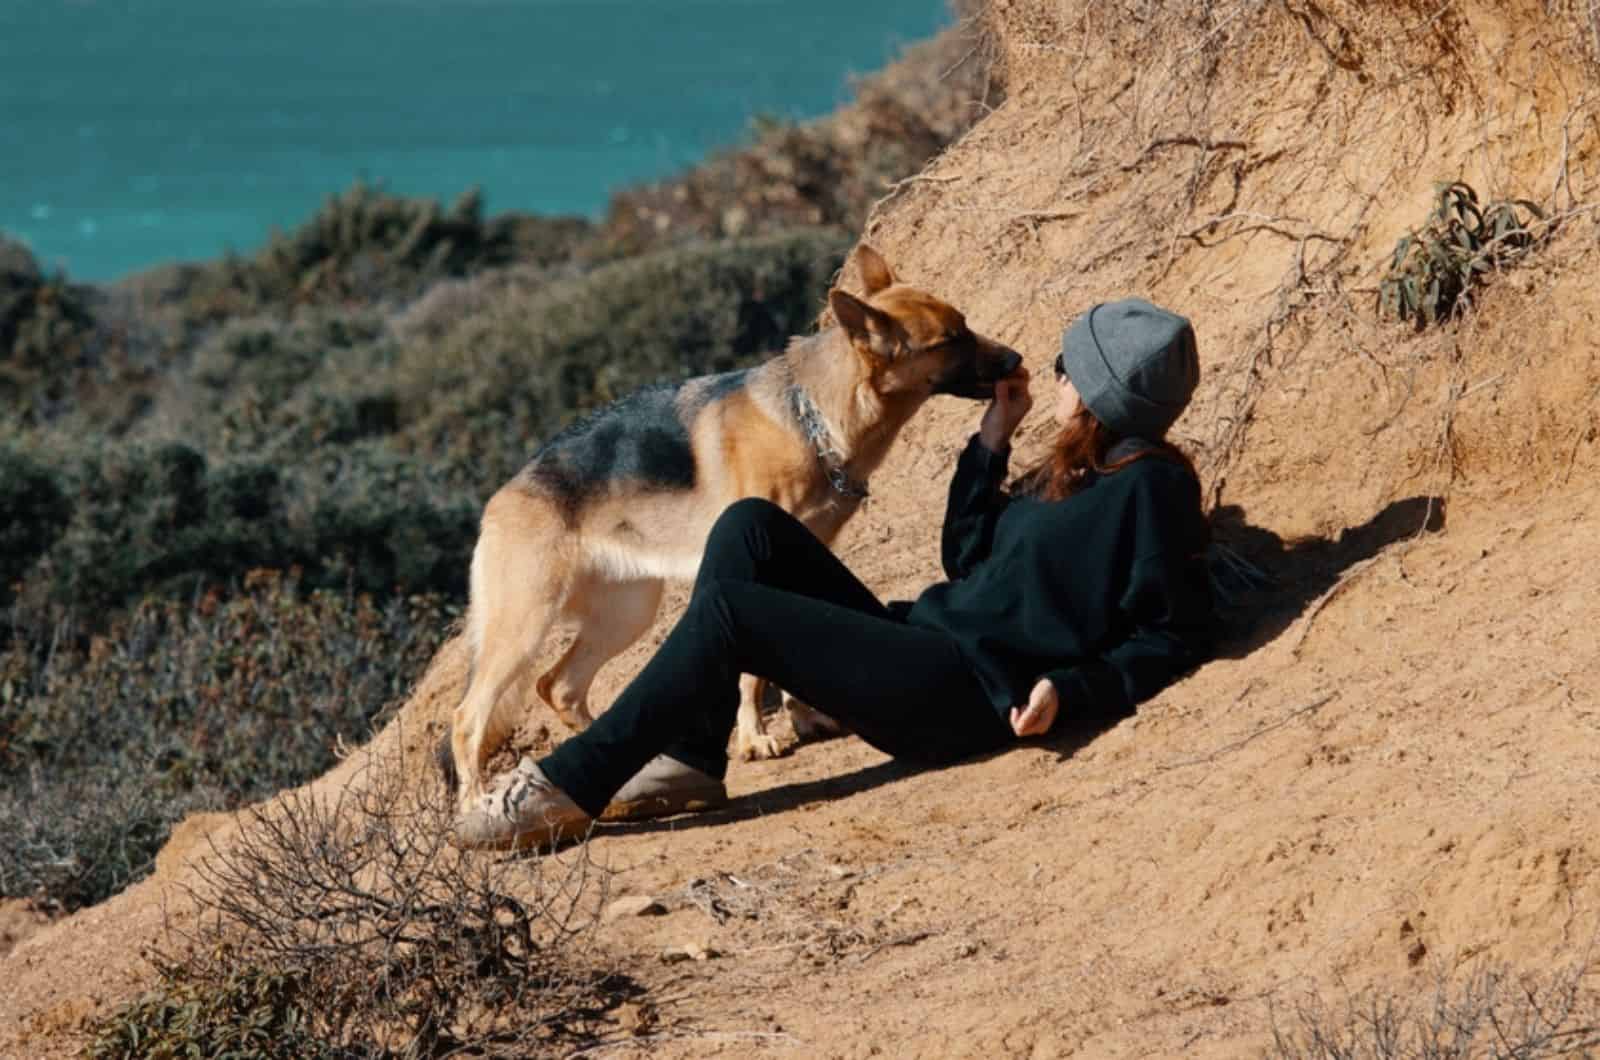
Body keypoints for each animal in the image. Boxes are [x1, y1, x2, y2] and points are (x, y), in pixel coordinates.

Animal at [444, 246, 1017, 813]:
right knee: (469, 717)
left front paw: (803, 716)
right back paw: (476, 802)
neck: (812, 418)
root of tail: (498, 499)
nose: (1016, 361)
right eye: (950, 340)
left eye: (964, 324)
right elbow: (750, 673)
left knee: (559, 687)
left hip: (627, 614)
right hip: (525, 627)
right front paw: (755, 738)